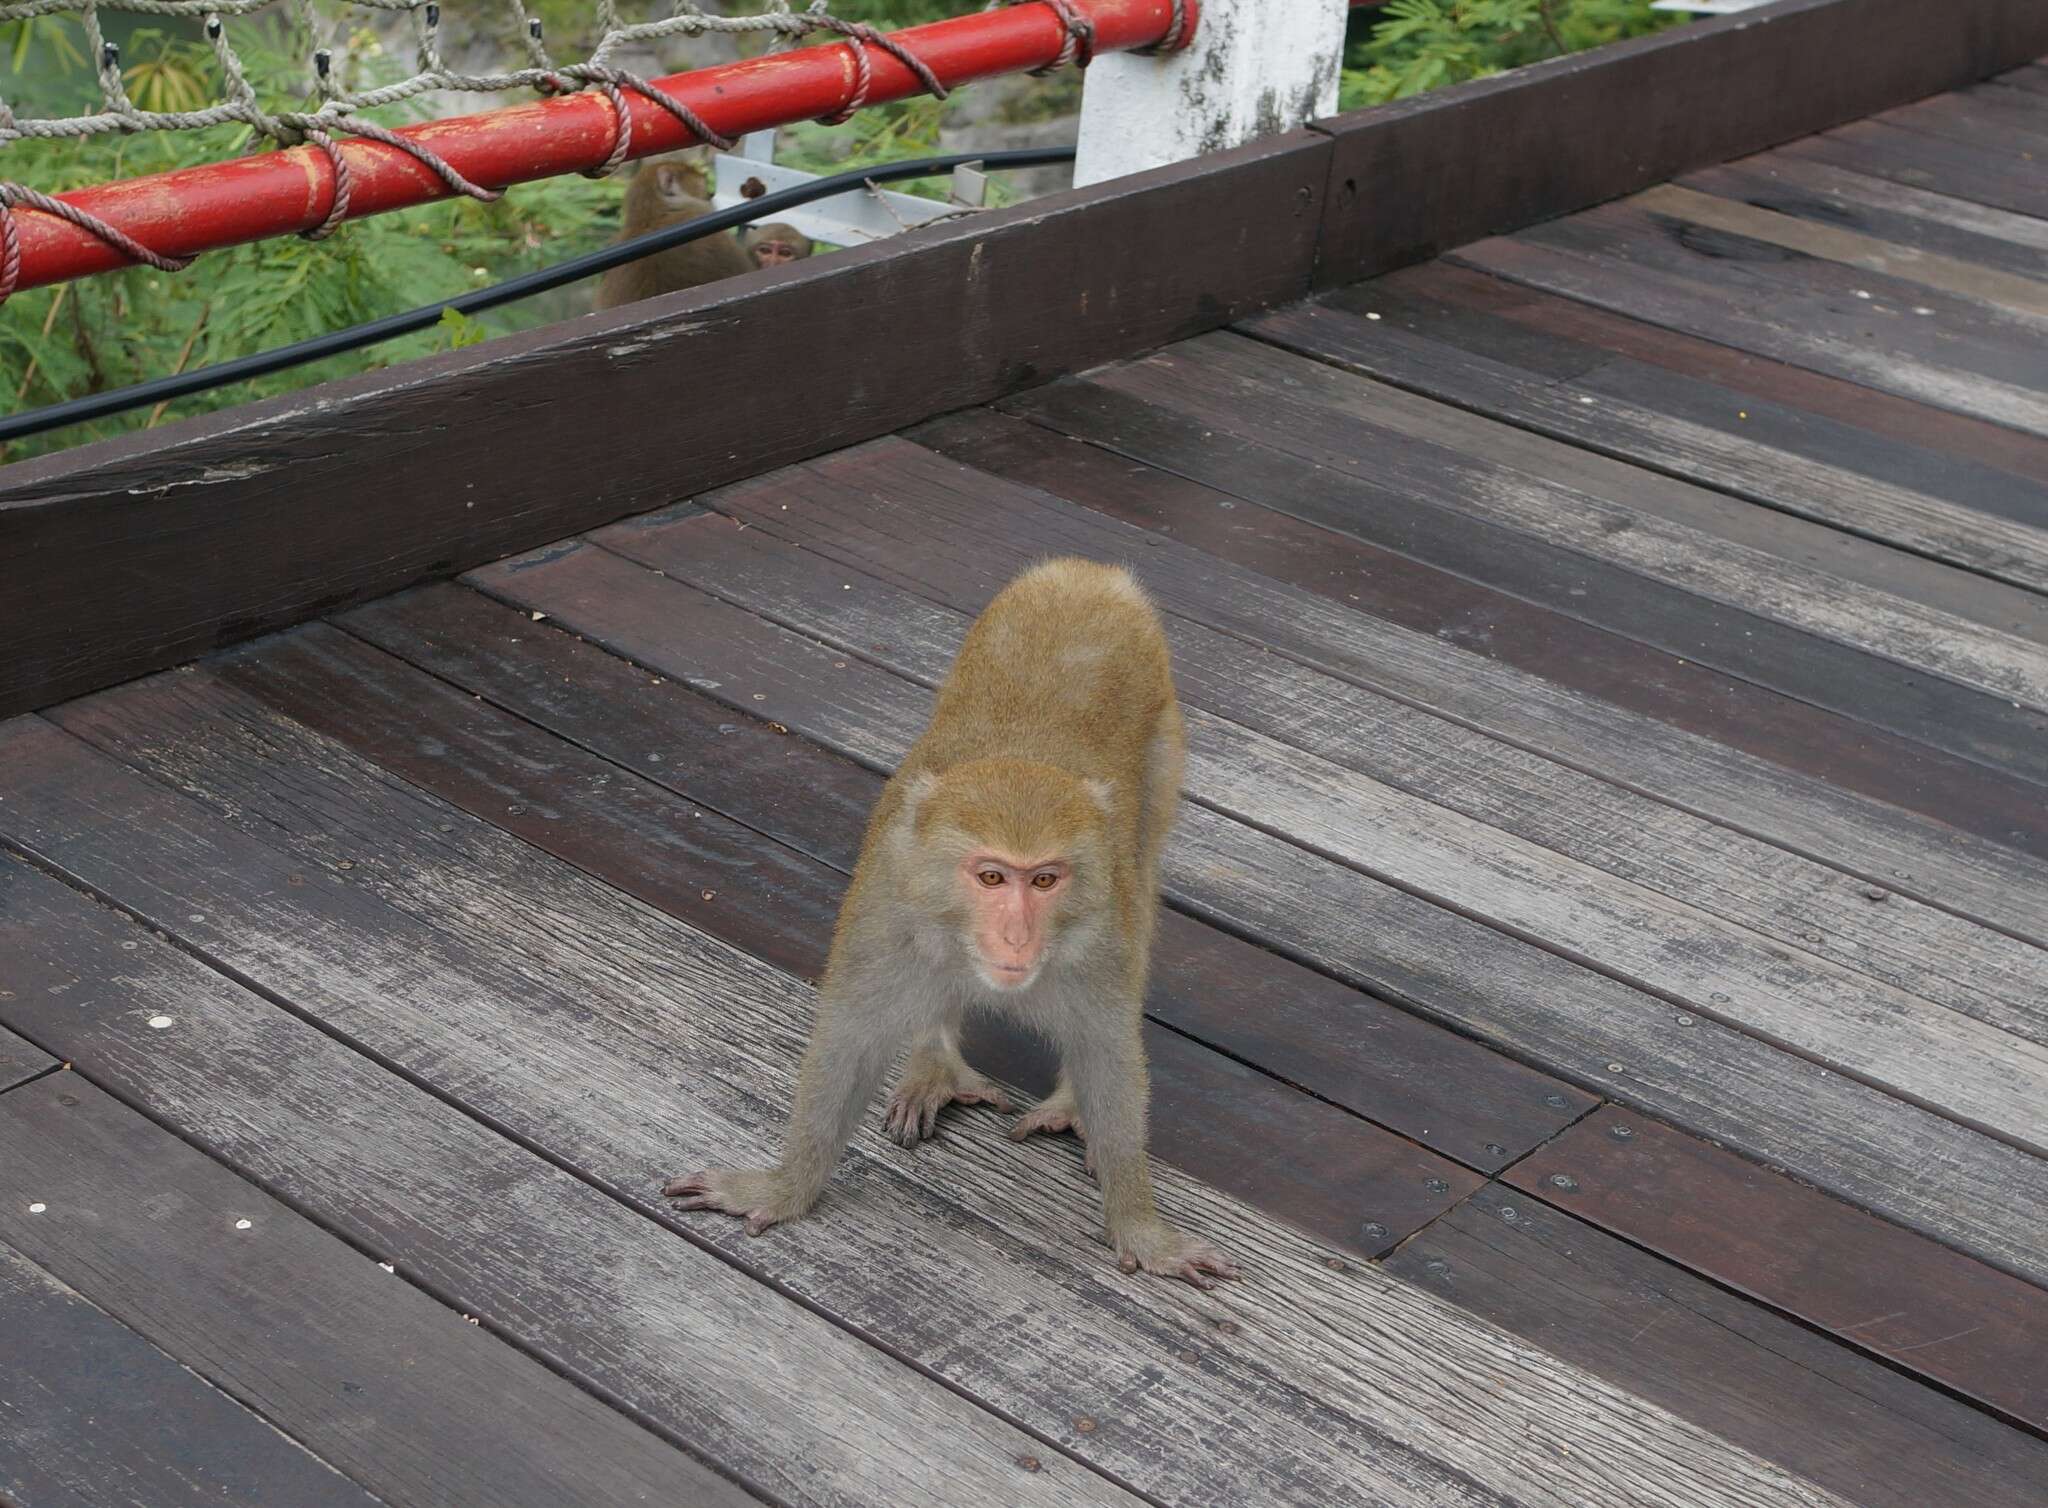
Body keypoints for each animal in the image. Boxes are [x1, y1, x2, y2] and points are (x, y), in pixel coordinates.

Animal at [671, 561, 1236, 1286]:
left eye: (1044, 880)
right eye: (992, 878)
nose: (1017, 936)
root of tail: (1086, 575)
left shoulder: (1098, 933)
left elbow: (1107, 1050)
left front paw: (1141, 1227)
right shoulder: (887, 909)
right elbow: (852, 1040)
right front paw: (785, 1187)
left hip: (1161, 754)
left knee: (1143, 872)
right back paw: (935, 1060)